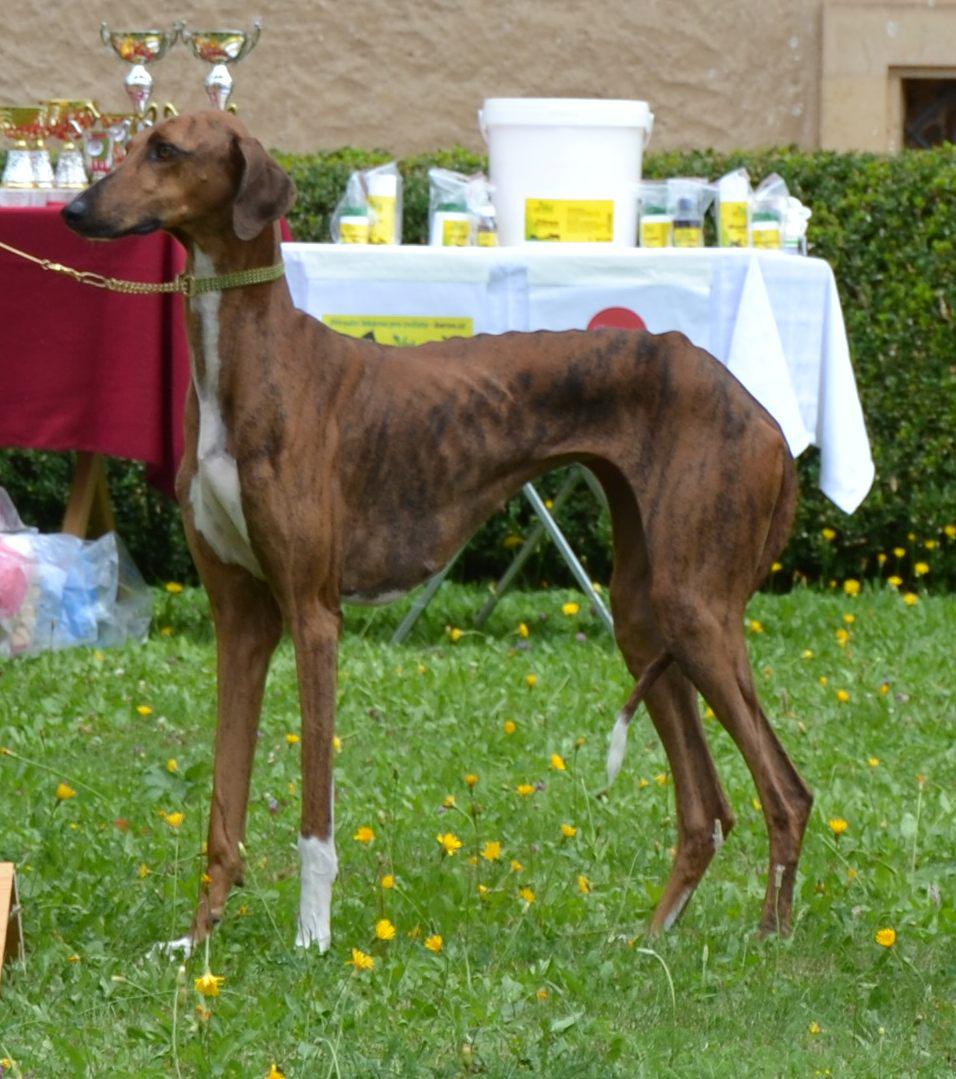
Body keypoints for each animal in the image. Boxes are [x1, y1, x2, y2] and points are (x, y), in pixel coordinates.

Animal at [63, 111, 812, 954]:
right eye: (131, 144)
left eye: (164, 151)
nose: (76, 212)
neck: (256, 361)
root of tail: (762, 413)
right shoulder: (242, 619)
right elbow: (223, 807)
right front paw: (198, 942)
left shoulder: (313, 615)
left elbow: (315, 819)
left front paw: (313, 939)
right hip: (646, 617)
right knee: (705, 810)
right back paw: (650, 940)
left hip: (696, 610)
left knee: (786, 792)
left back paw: (771, 943)